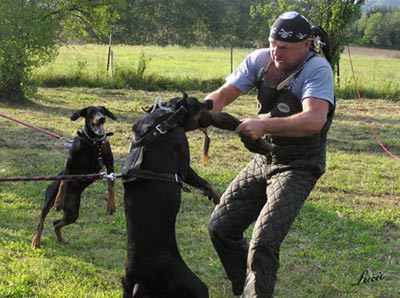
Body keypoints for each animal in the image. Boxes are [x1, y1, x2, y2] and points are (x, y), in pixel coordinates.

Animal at [31, 106, 116, 248]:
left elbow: (111, 186)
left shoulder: (109, 163)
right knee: (41, 223)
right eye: (91, 112)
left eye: (103, 112)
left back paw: (61, 240)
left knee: (56, 223)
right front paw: (59, 199)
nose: (101, 118)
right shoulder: (70, 159)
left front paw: (111, 205)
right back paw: (36, 240)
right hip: (49, 200)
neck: (94, 142)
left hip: (72, 212)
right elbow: (64, 180)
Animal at [121, 93, 241, 298]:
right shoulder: (184, 166)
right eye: (198, 104)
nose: (210, 102)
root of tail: (138, 282)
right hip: (194, 284)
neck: (166, 119)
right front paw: (217, 198)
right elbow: (205, 182)